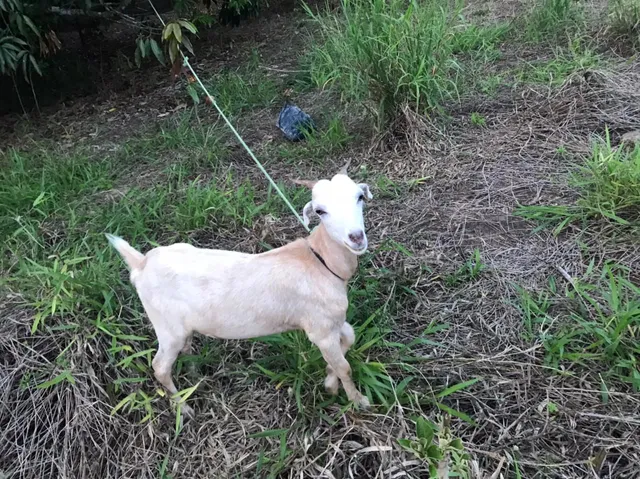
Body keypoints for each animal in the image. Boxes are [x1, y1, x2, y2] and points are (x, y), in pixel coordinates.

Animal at [106, 164, 373, 416]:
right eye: (320, 211)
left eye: (359, 196)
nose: (356, 237)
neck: (321, 261)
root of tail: (141, 263)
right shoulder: (321, 329)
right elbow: (344, 367)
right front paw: (357, 400)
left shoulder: (332, 322)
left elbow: (350, 337)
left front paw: (329, 381)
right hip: (167, 327)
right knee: (160, 366)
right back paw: (184, 408)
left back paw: (194, 374)